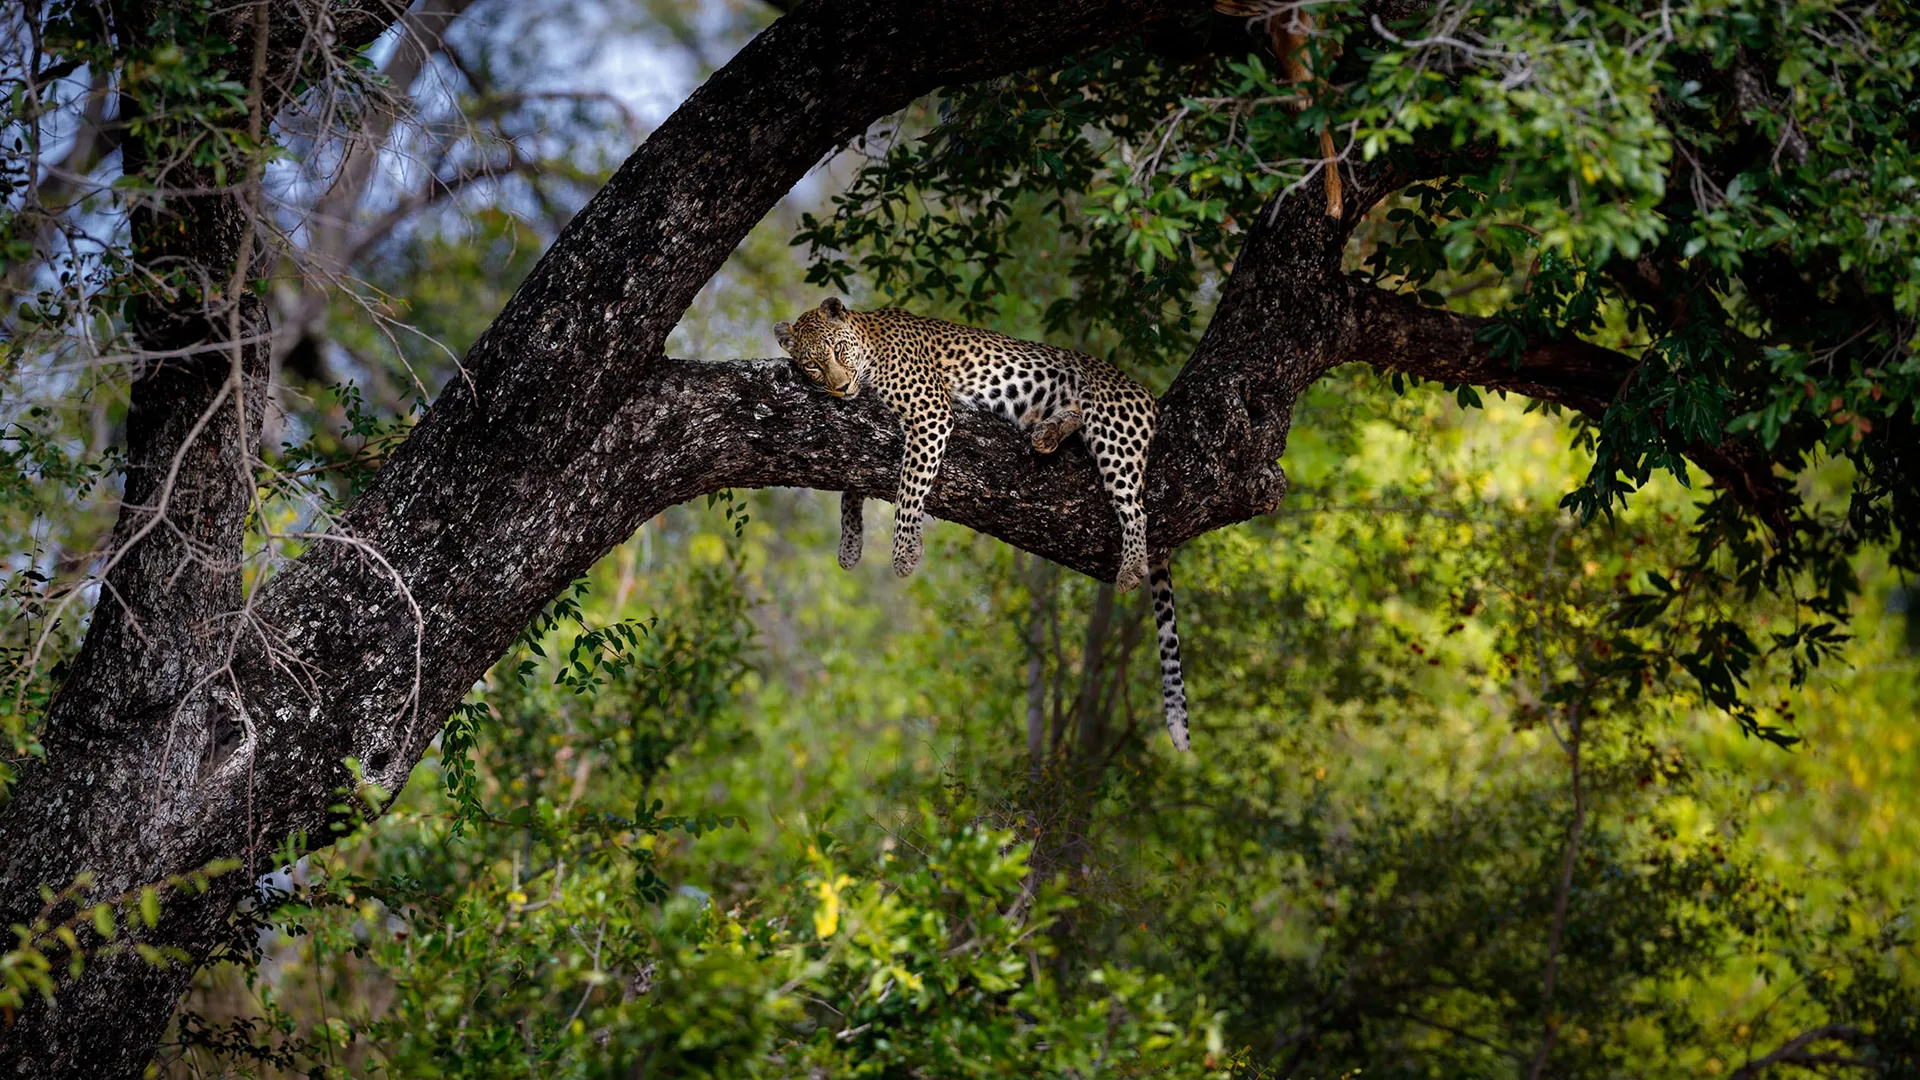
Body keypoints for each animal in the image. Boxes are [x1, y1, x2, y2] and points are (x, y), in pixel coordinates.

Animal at [774, 297, 1191, 751]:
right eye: (812, 365)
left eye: (838, 351)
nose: (841, 386)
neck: (869, 344)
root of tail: (1146, 394)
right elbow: (852, 486)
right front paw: (850, 545)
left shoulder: (930, 413)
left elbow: (909, 486)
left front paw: (905, 551)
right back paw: (1049, 431)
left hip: (1115, 431)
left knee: (1136, 507)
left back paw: (1131, 566)